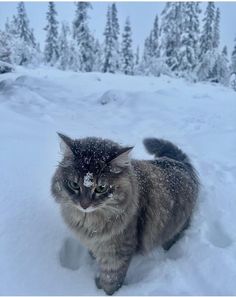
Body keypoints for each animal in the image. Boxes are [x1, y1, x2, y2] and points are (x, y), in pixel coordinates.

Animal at [51, 134, 199, 294]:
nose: (84, 205)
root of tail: (181, 164)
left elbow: (111, 280)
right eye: (74, 185)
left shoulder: (117, 253)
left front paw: (105, 292)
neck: (89, 221)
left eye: (101, 188)